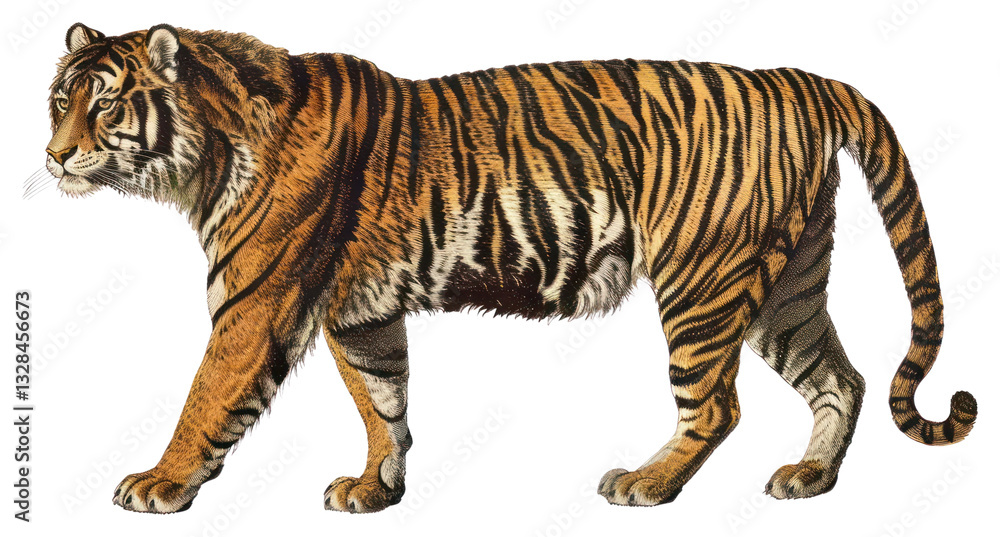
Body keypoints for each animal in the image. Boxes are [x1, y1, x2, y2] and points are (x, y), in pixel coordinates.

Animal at [40, 22, 977, 514]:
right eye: (58, 100)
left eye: (107, 105)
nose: (51, 156)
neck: (203, 156)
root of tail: (795, 77)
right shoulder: (360, 314)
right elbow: (383, 403)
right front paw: (375, 488)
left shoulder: (256, 304)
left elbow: (206, 397)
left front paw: (159, 482)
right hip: (786, 285)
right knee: (840, 379)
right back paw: (810, 478)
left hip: (703, 279)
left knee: (716, 403)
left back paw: (645, 481)